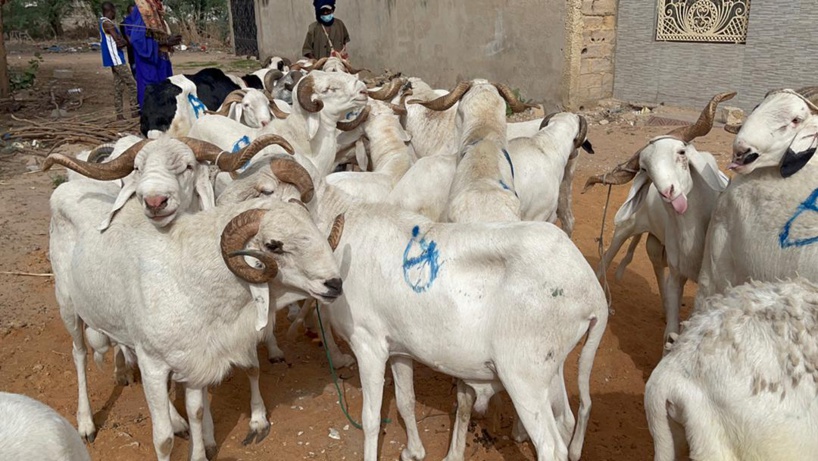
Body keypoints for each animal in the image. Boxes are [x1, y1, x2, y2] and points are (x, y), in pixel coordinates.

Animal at [48, 161, 344, 460]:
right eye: (274, 245)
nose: (335, 284)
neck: (188, 276)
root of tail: (68, 187)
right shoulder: (153, 365)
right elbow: (163, 439)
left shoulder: (193, 361)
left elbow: (198, 412)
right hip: (68, 306)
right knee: (79, 355)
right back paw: (86, 424)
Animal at [584, 92, 733, 348]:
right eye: (645, 168)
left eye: (681, 152)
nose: (668, 192)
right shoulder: (677, 273)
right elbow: (671, 330)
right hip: (626, 228)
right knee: (608, 257)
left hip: (655, 242)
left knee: (655, 264)